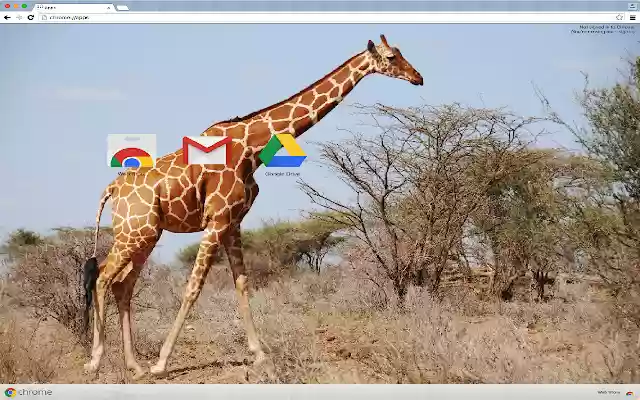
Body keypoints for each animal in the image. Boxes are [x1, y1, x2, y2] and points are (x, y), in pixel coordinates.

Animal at [81, 34, 423, 378]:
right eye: (392, 57)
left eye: (402, 53)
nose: (418, 78)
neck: (253, 148)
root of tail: (112, 189)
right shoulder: (217, 219)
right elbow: (194, 286)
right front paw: (162, 363)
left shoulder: (233, 222)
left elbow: (242, 283)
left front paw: (259, 354)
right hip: (134, 233)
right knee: (102, 278)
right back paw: (96, 361)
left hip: (146, 235)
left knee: (122, 285)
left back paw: (134, 365)